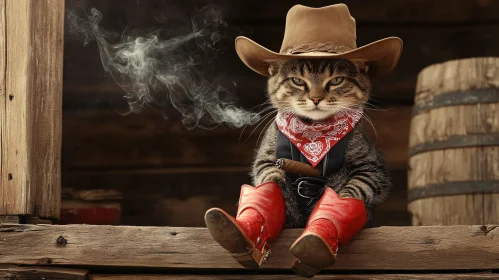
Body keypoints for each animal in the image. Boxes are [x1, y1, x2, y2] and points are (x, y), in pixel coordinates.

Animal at [252, 58, 392, 229]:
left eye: (337, 80)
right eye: (298, 81)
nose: (316, 99)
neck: (314, 133)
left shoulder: (372, 166)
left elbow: (356, 189)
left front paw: (336, 210)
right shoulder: (265, 158)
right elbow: (270, 178)